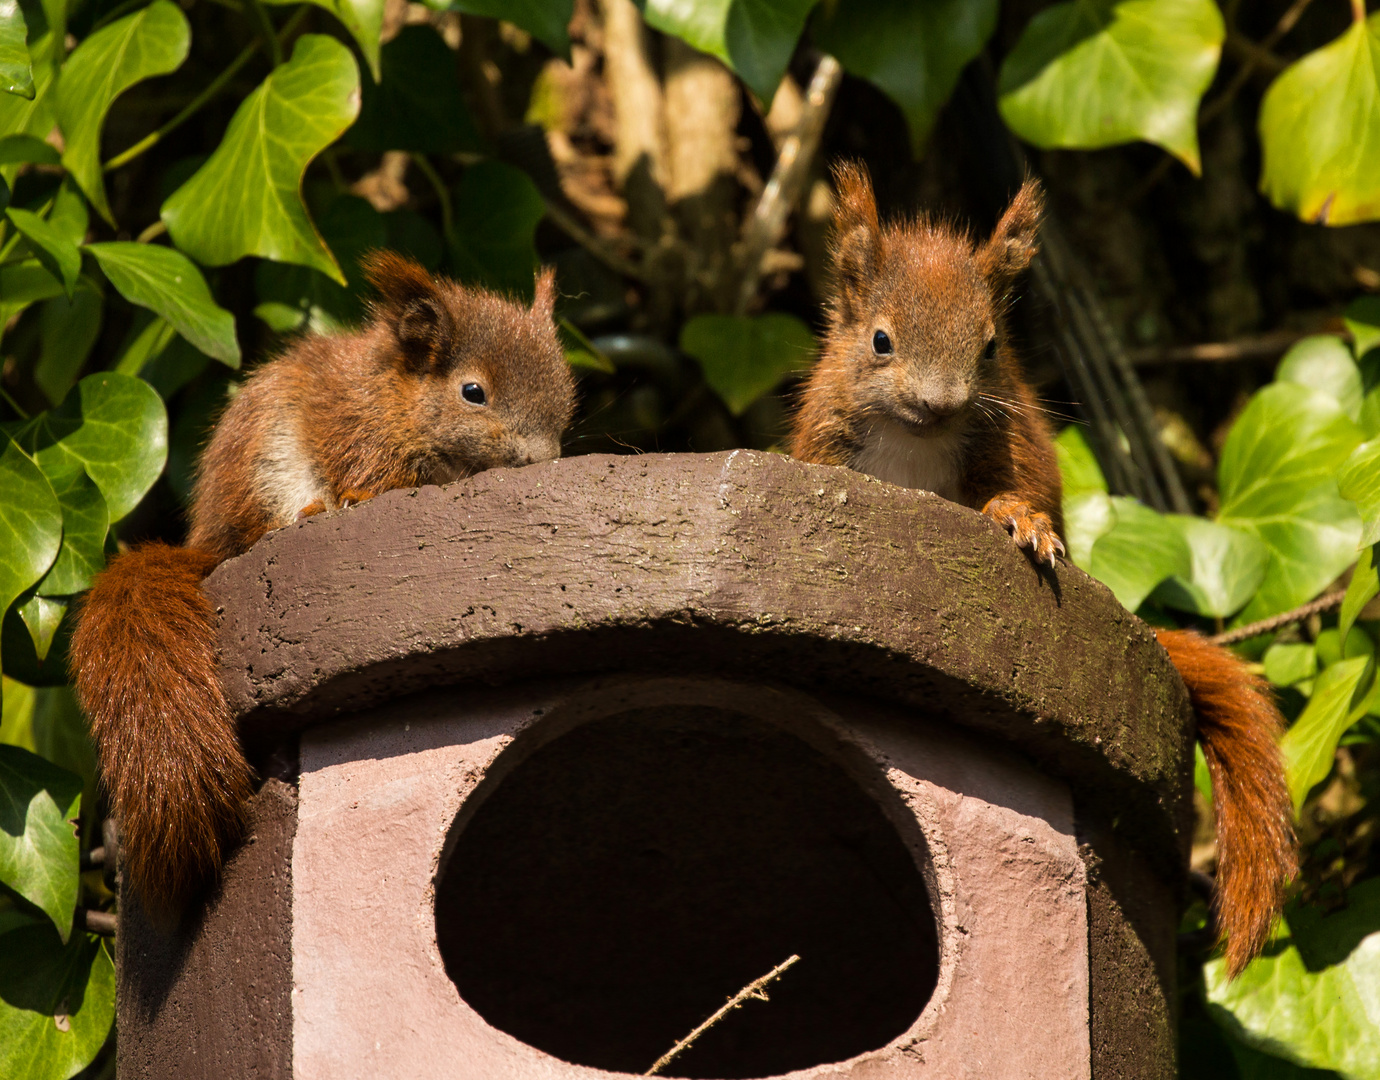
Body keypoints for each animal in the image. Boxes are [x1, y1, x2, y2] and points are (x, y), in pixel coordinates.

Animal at [71, 255, 576, 921]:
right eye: (474, 393)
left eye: (566, 390)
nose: (544, 460)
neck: (396, 397)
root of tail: (207, 543)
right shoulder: (355, 433)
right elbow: (374, 479)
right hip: (269, 473)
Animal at [794, 162, 1297, 982]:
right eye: (878, 341)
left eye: (991, 345)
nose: (939, 404)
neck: (915, 442)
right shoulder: (825, 437)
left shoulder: (1015, 442)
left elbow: (1016, 494)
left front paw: (1020, 523)